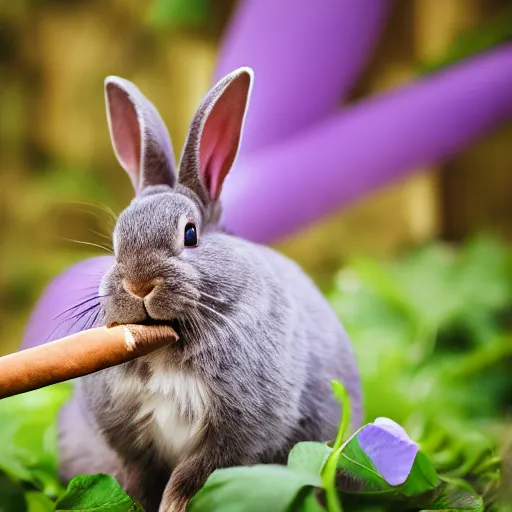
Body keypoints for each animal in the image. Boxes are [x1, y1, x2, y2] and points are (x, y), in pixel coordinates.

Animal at [56, 68, 362, 512]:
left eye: (190, 234)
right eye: (116, 243)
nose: (138, 283)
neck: (166, 345)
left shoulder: (237, 436)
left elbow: (192, 476)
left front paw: (172, 507)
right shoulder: (130, 441)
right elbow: (139, 477)